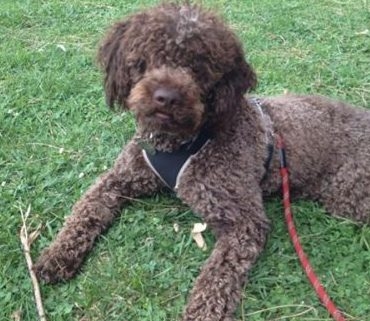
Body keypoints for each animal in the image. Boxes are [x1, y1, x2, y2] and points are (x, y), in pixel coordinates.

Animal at [33, 3, 368, 320]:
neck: (180, 141)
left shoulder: (244, 221)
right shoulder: (118, 178)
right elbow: (84, 211)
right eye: (147, 57)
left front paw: (202, 311)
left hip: (348, 195)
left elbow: (217, 277)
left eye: (199, 67)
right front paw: (57, 254)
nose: (166, 97)